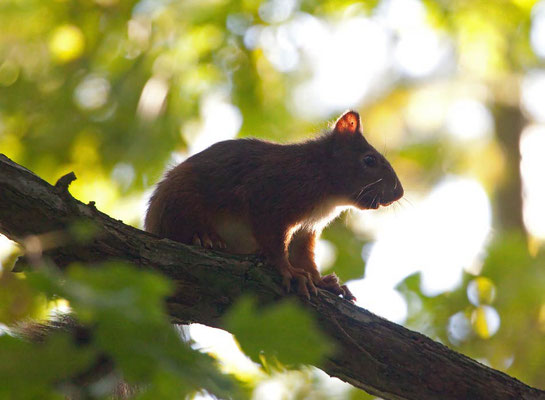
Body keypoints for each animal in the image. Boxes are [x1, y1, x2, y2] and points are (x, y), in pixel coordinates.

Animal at [143, 111, 400, 302]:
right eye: (369, 160)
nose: (399, 192)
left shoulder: (307, 229)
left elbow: (303, 255)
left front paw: (321, 281)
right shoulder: (270, 194)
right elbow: (274, 239)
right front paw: (289, 270)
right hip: (180, 197)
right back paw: (204, 237)